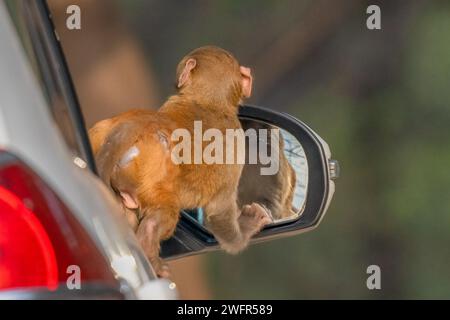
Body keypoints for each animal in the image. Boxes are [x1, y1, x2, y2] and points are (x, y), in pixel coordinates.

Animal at [88, 45, 270, 278]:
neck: (209, 101)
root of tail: (137, 124)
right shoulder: (237, 142)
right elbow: (219, 212)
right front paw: (246, 228)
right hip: (153, 175)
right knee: (163, 213)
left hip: (104, 135)